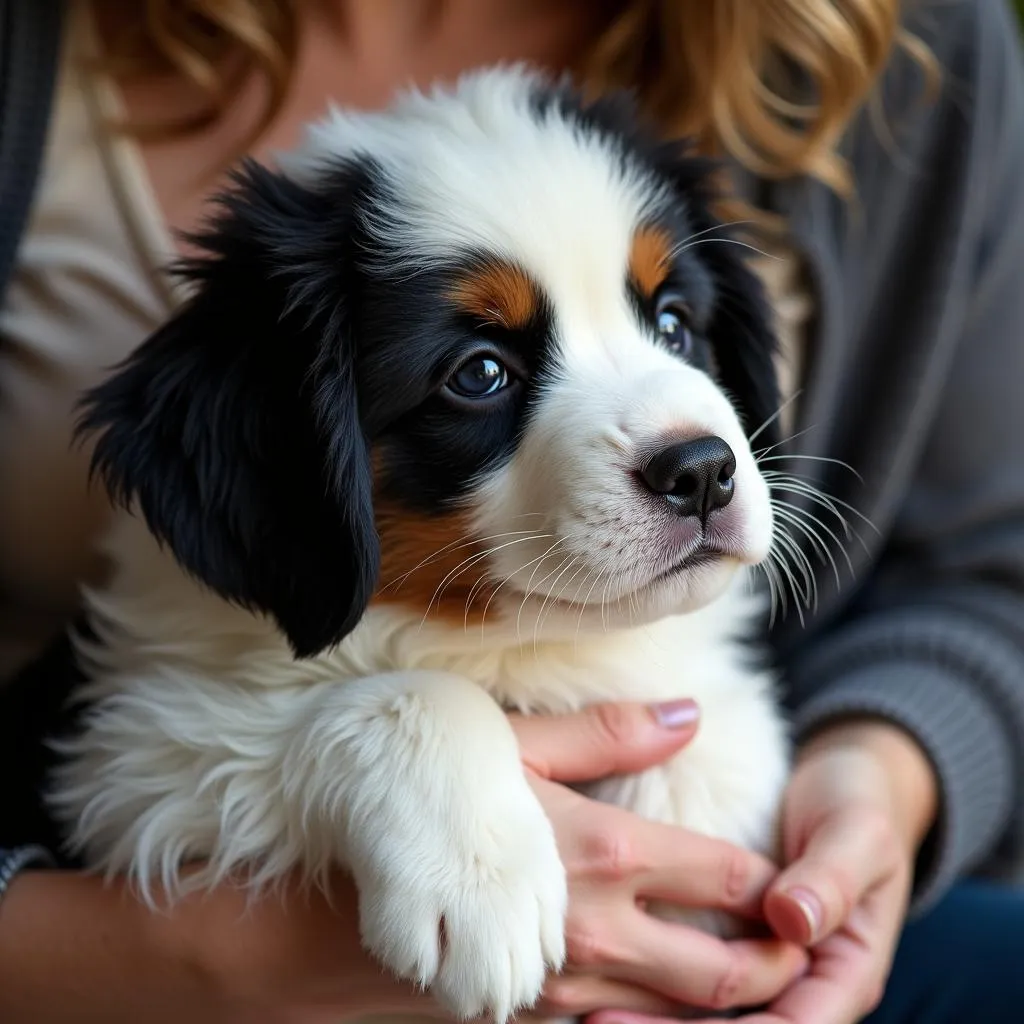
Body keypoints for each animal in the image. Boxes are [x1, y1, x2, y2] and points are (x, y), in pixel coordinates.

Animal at [51, 66, 790, 1024]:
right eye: (479, 374)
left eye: (672, 324)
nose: (701, 471)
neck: (504, 642)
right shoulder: (133, 752)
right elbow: (402, 698)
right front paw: (478, 881)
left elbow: (704, 722)